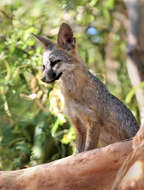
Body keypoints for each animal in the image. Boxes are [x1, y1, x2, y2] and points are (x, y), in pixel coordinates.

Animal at [33, 22, 140, 153]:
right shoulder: (77, 124)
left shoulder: (93, 121)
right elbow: (78, 153)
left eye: (54, 62)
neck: (72, 93)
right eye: (43, 66)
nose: (42, 79)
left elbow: (88, 150)